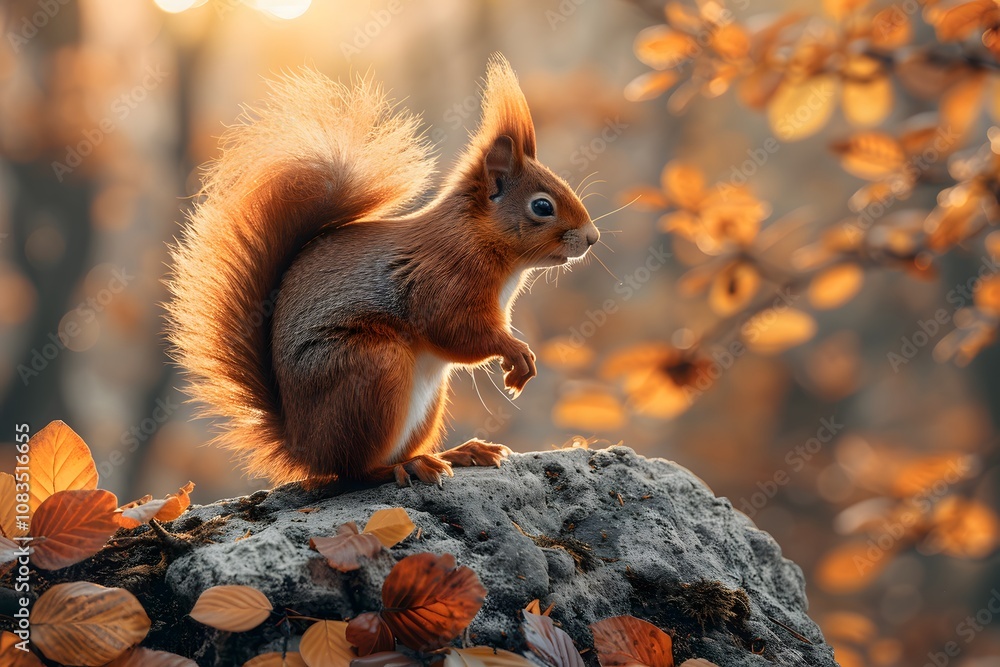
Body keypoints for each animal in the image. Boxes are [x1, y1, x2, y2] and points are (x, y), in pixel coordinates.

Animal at [166, 56, 598, 487]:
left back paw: (457, 453)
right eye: (542, 206)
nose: (592, 238)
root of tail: (304, 449)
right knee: (354, 471)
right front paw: (516, 352)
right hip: (372, 368)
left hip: (424, 400)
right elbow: (454, 330)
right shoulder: (443, 277)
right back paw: (406, 467)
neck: (478, 238)